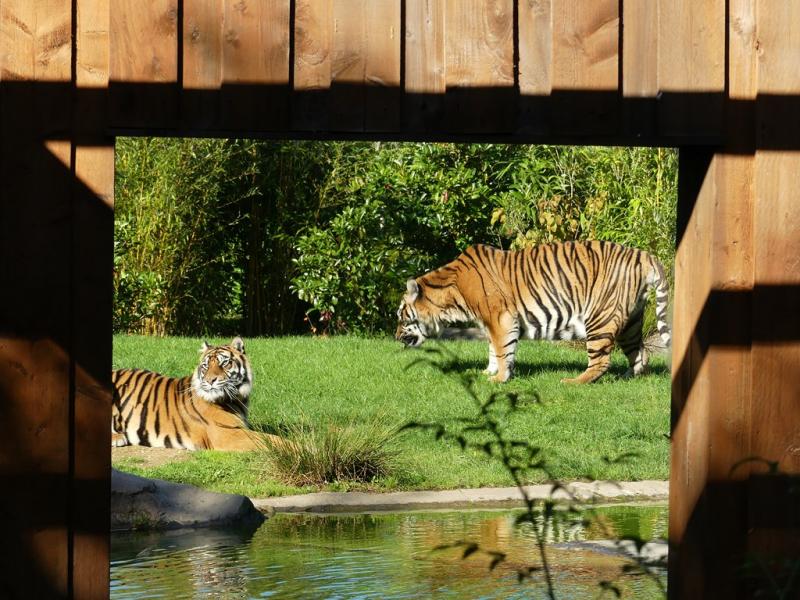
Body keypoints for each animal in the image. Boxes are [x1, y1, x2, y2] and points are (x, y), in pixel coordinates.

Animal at [112, 337, 269, 451]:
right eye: (205, 366)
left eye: (224, 363)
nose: (210, 380)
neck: (237, 398)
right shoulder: (227, 433)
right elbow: (269, 439)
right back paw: (118, 438)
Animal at [395, 241, 671, 384]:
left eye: (400, 316)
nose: (396, 337)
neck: (452, 297)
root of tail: (643, 255)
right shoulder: (489, 322)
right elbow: (493, 350)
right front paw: (488, 372)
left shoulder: (501, 318)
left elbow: (503, 350)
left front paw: (499, 379)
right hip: (631, 321)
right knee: (641, 353)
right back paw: (628, 377)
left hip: (600, 317)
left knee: (601, 360)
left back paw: (573, 382)